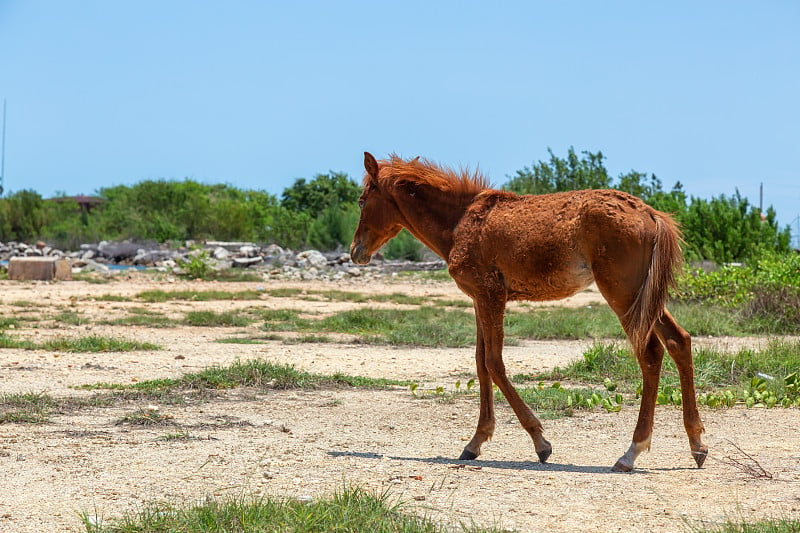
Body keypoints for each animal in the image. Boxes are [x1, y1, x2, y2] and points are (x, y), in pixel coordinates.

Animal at [350, 151, 708, 470]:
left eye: (362, 200)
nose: (355, 252)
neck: (461, 220)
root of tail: (651, 214)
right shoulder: (479, 299)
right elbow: (480, 363)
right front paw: (475, 443)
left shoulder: (490, 295)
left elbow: (494, 363)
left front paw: (540, 442)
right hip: (645, 300)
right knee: (679, 342)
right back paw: (697, 445)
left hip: (623, 294)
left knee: (650, 354)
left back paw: (631, 452)